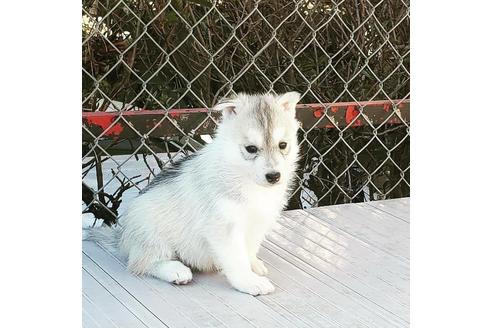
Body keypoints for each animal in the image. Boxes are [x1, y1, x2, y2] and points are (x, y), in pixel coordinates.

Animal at [87, 91, 302, 294]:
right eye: (251, 148)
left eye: (283, 145)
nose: (274, 176)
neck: (245, 178)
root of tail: (123, 239)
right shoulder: (223, 227)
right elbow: (236, 258)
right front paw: (248, 282)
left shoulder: (258, 221)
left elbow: (249, 249)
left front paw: (254, 265)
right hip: (152, 233)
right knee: (142, 262)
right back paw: (176, 271)